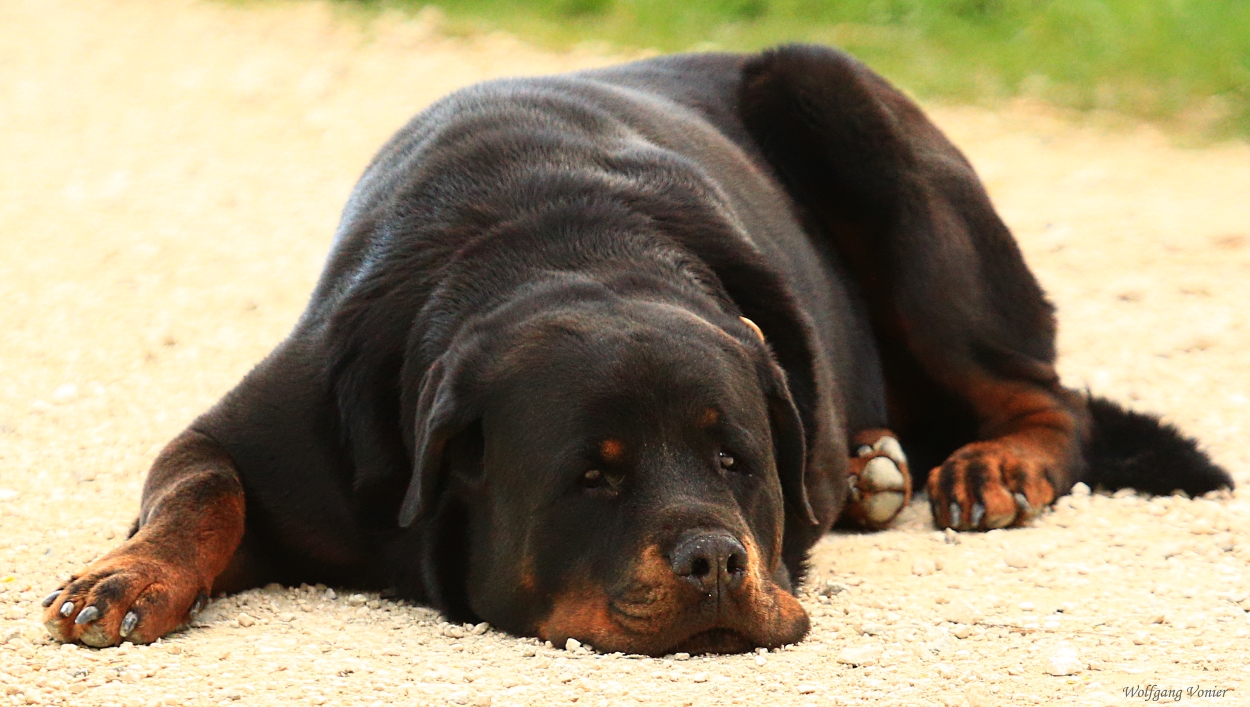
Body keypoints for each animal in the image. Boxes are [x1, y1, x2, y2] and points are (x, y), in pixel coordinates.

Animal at [41, 43, 1230, 654]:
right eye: (590, 478)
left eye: (736, 461)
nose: (713, 558)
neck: (562, 244)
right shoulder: (265, 426)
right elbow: (202, 489)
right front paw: (127, 577)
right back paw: (872, 465)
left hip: (842, 106)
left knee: (1045, 390)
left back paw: (989, 465)